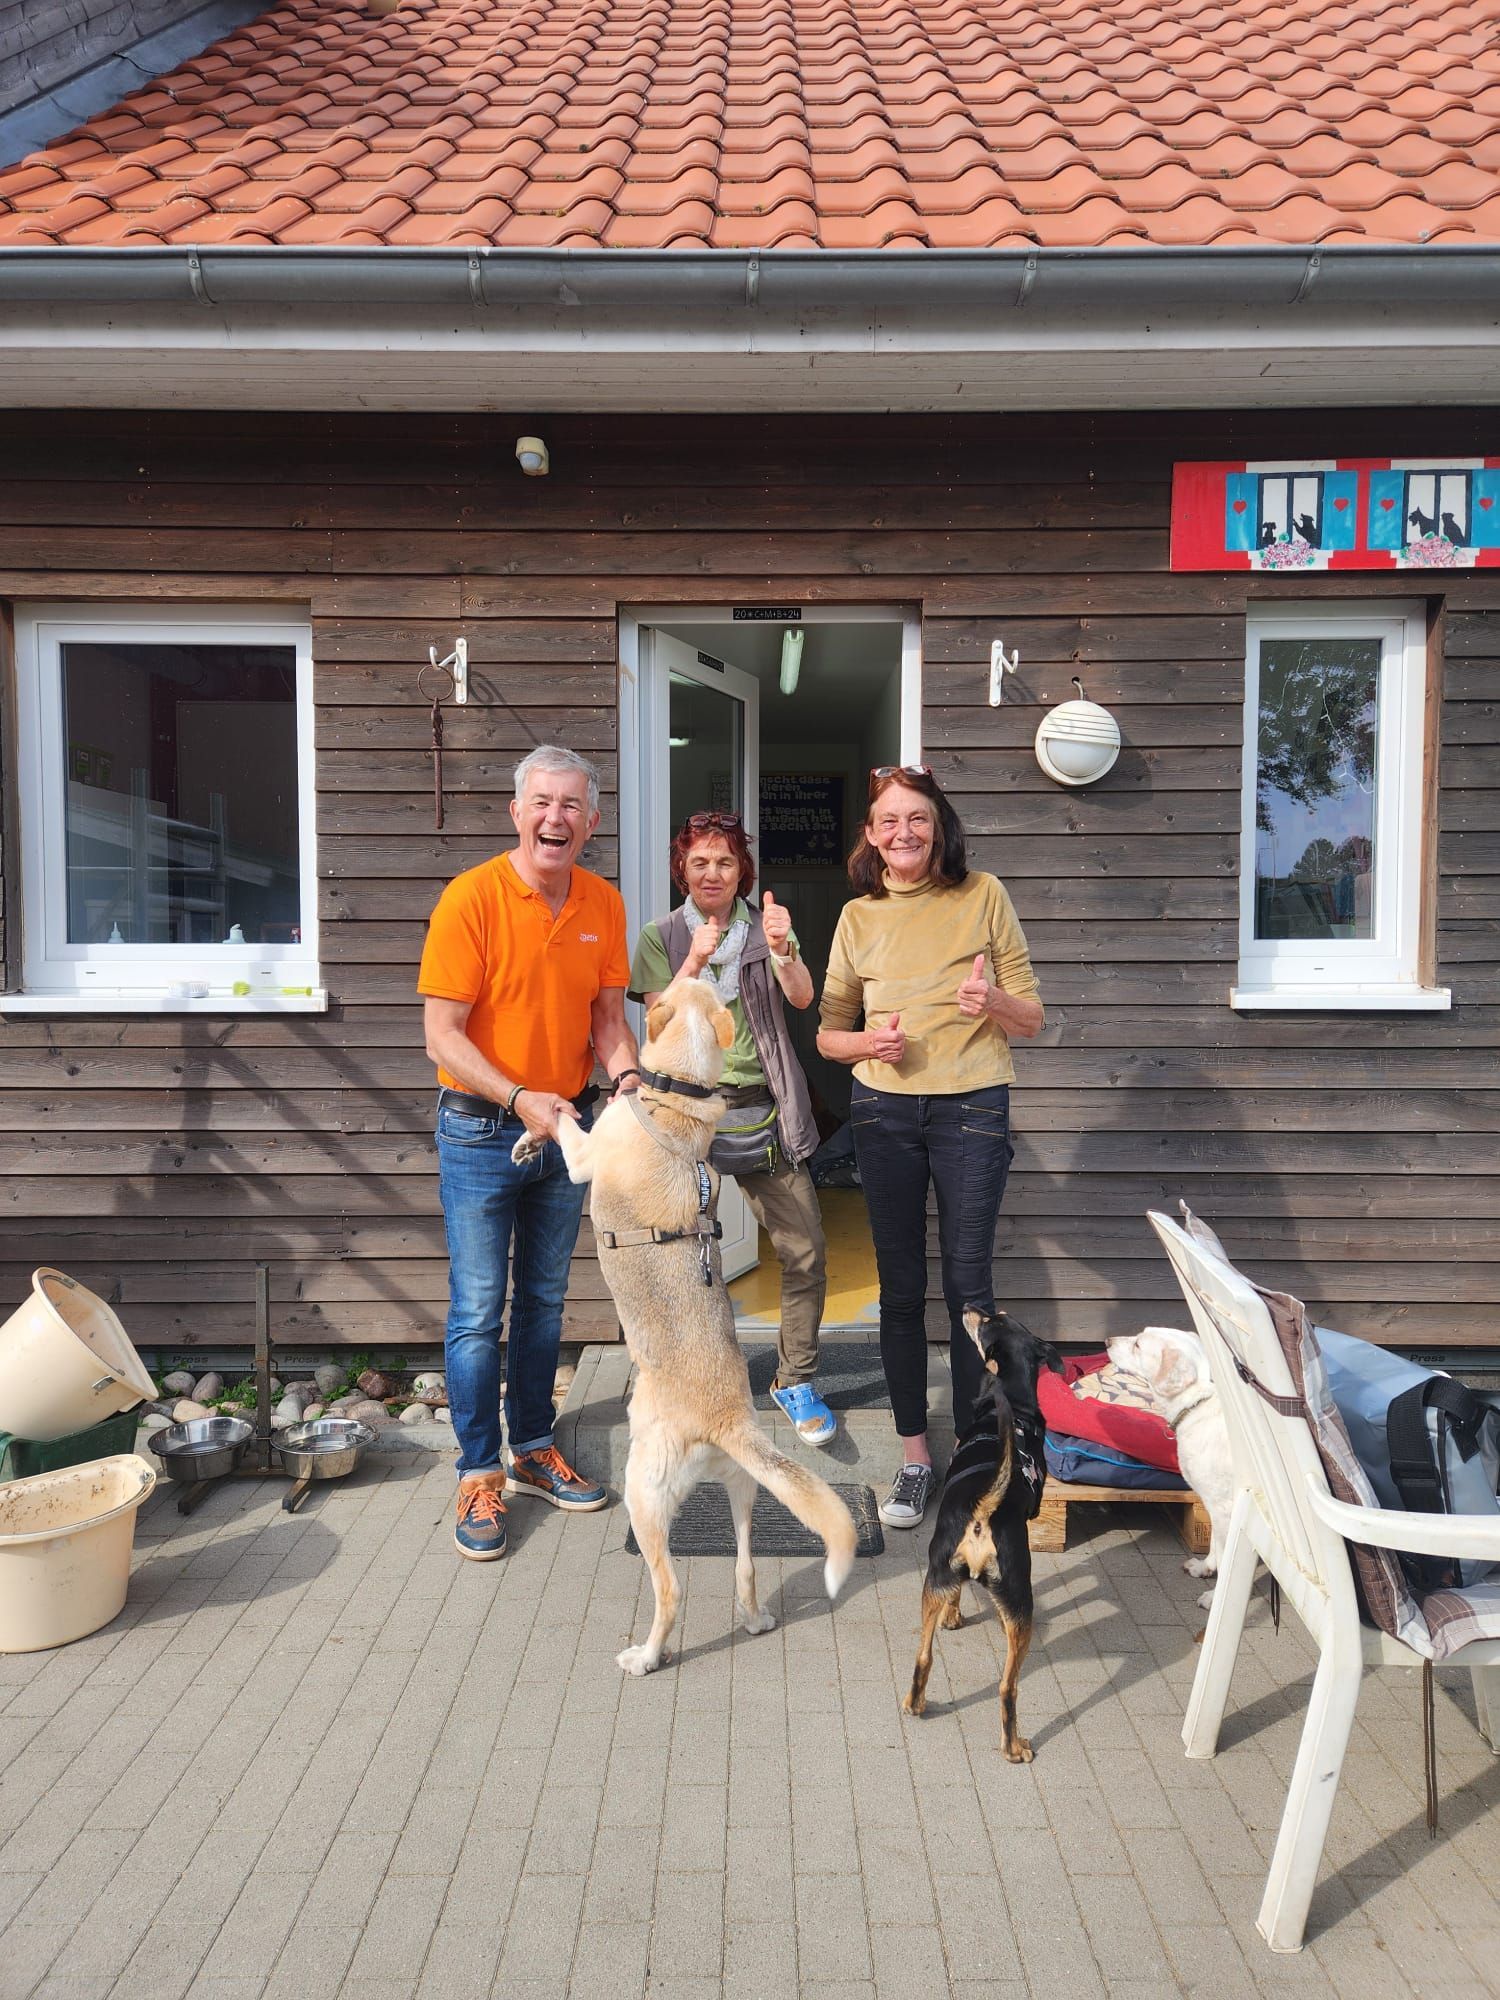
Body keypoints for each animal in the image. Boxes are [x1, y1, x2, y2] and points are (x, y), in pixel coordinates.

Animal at [518, 977, 856, 1675]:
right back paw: (754, 1620)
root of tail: (723, 1419)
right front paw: (524, 1142)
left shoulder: (585, 1156)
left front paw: (547, 1113)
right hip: (746, 1492)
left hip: (644, 1497)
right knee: (746, 1569)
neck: (675, 1096)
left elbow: (565, 1122)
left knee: (670, 1589)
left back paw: (644, 1657)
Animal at [902, 1307, 1062, 1762]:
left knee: (923, 1656)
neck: (1012, 1404)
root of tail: (982, 1511)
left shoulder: (946, 1579)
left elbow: (956, 1594)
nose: (970, 1308)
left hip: (934, 1575)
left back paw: (915, 1704)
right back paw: (1014, 1747)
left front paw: (952, 1617)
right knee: (1008, 1687)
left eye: (993, 1319)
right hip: (1020, 1604)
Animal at [1105, 1326, 1231, 1608]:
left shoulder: (1225, 1510)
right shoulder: (1212, 1505)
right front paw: (1204, 1567)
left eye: (1138, 1345)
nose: (1107, 1340)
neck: (1197, 1404)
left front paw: (1214, 1598)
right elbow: (1214, 1545)